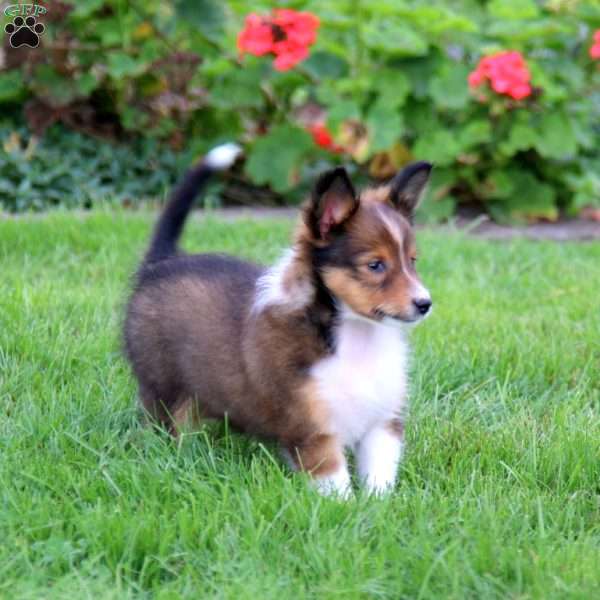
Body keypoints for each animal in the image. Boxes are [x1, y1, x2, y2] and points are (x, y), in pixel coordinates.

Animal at [124, 144, 432, 496]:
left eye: (412, 261)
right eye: (375, 265)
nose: (425, 304)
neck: (356, 339)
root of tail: (160, 262)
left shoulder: (382, 422)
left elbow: (380, 478)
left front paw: (379, 505)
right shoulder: (312, 430)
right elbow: (336, 485)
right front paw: (346, 508)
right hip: (163, 387)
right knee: (167, 428)